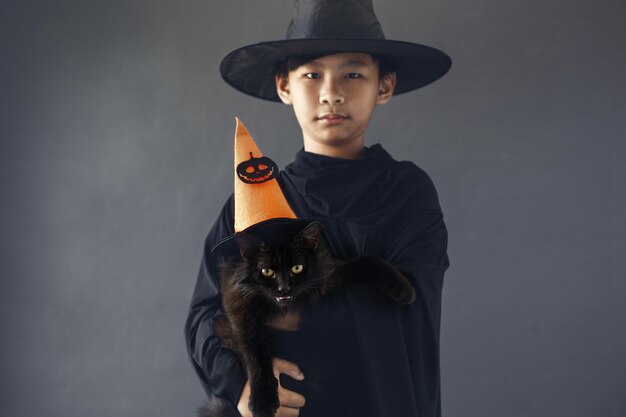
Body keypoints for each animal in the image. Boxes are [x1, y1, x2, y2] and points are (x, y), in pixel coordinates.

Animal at [201, 221, 414, 416]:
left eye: (297, 268)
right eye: (267, 271)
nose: (284, 289)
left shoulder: (331, 277)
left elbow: (367, 261)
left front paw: (404, 290)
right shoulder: (243, 319)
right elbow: (255, 358)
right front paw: (263, 402)